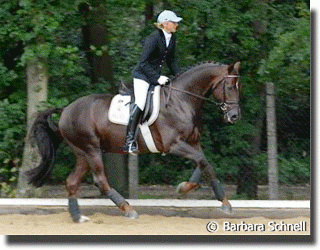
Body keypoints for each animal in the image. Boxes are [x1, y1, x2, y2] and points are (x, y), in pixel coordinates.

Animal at [26, 61, 240, 222]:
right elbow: (203, 162)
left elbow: (203, 163)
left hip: (82, 153)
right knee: (100, 180)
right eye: (229, 87)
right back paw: (127, 209)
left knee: (71, 182)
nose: (234, 116)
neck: (182, 100)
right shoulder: (174, 144)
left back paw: (78, 217)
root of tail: (66, 110)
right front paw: (224, 202)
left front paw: (187, 188)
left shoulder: (193, 142)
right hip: (91, 149)